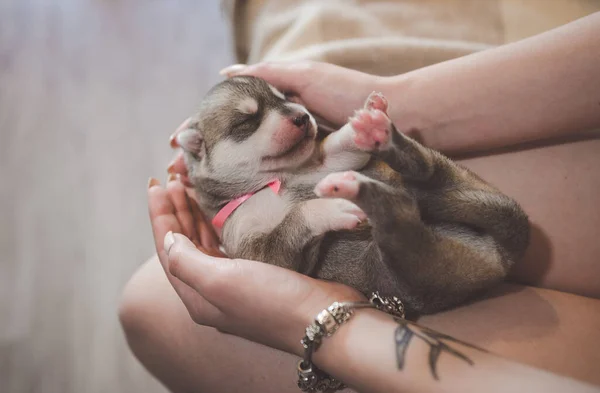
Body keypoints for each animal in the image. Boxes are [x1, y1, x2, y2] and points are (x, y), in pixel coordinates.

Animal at [172, 76, 528, 316]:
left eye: (284, 97)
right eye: (247, 121)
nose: (302, 117)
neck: (274, 181)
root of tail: (503, 254)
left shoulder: (326, 164)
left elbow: (341, 152)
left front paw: (363, 121)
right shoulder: (260, 255)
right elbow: (295, 219)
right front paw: (330, 209)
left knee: (424, 173)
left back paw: (381, 137)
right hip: (415, 267)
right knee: (401, 216)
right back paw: (362, 191)